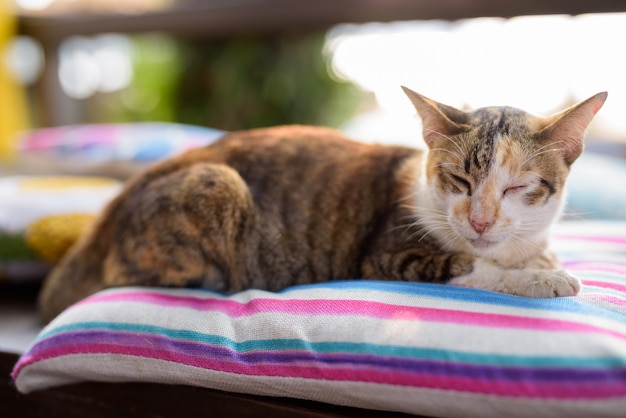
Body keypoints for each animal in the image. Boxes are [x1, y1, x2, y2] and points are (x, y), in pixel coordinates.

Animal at [37, 86, 604, 322]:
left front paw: (542, 259)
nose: (482, 220)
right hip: (217, 183)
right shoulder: (390, 255)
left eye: (516, 187)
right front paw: (543, 278)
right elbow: (474, 267)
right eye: (459, 180)